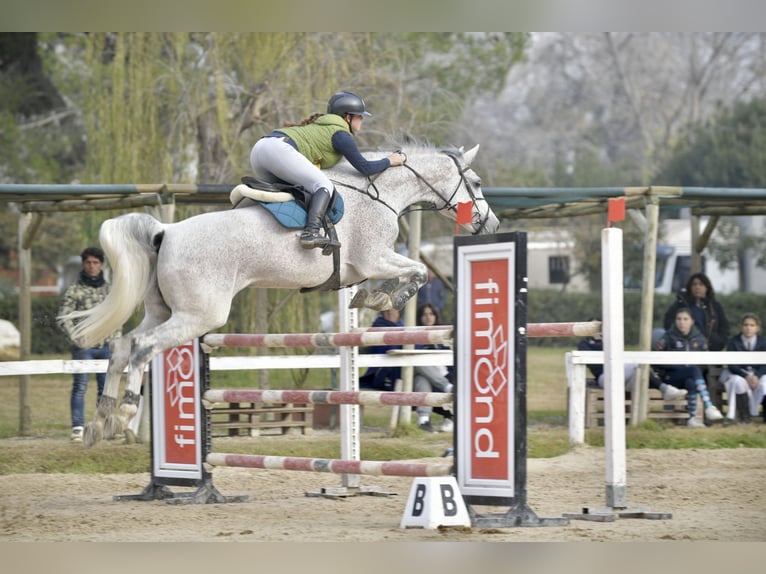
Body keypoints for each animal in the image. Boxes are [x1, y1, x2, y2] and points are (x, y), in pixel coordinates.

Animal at [59, 143, 500, 447]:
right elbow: (418, 271)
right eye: (477, 183)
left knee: (122, 346)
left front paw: (371, 300)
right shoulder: (373, 259)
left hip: (163, 310)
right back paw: (124, 412)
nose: (492, 225)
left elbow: (406, 274)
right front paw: (383, 300)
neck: (380, 193)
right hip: (198, 316)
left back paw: (101, 421)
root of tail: (164, 232)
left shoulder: (365, 267)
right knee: (142, 348)